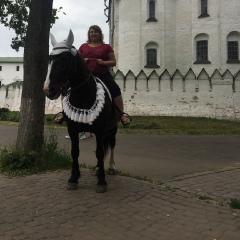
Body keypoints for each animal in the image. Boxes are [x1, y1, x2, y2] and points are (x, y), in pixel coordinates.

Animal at [43, 30, 118, 192]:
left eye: (64, 59)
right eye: (50, 59)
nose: (48, 89)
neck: (83, 95)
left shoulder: (100, 129)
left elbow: (100, 152)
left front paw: (101, 182)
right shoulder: (72, 129)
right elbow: (75, 152)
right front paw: (73, 178)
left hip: (113, 128)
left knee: (111, 144)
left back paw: (111, 167)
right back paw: (98, 168)